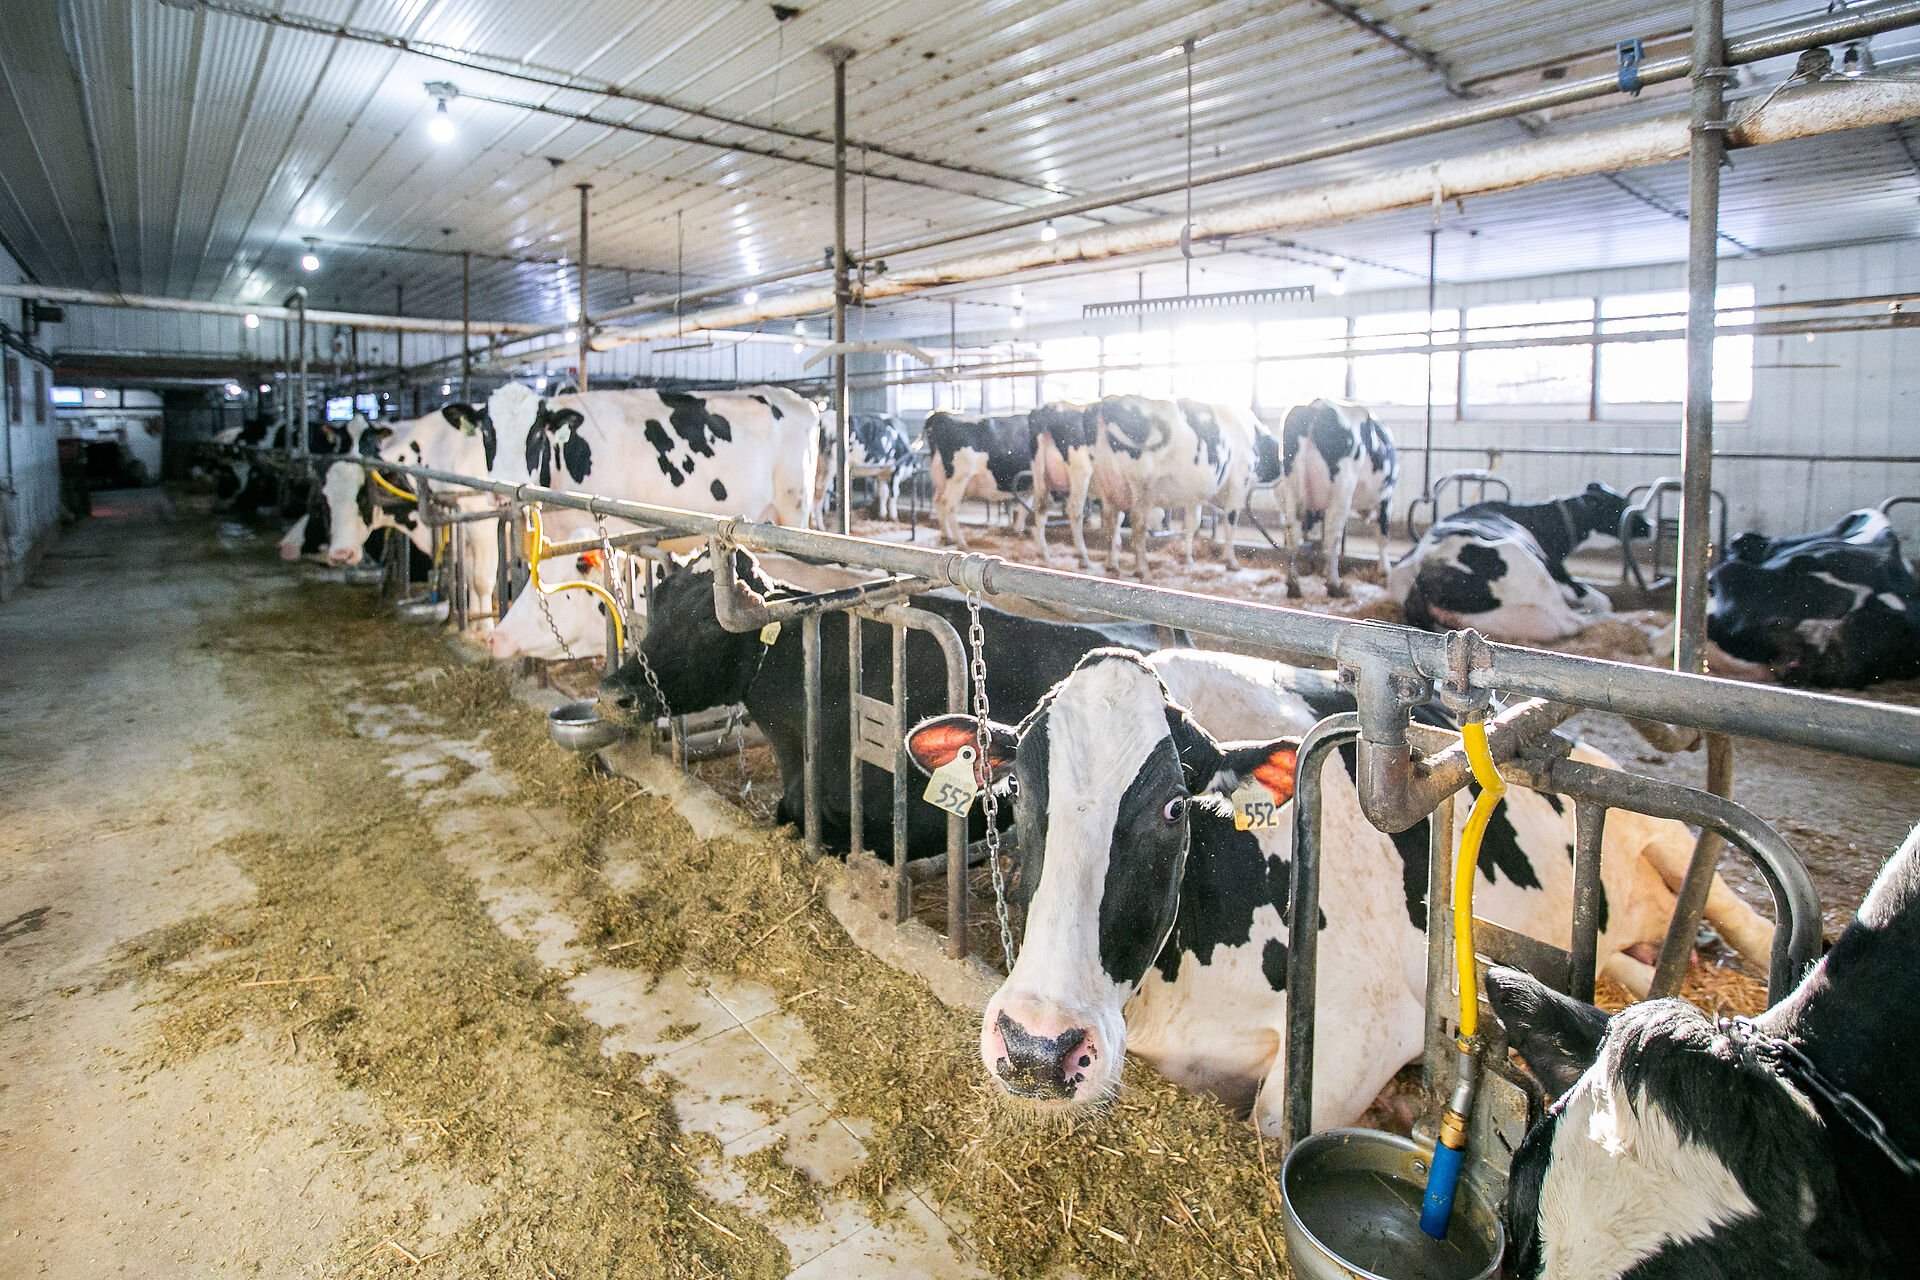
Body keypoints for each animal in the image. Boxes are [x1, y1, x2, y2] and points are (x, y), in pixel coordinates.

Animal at [902, 648, 1773, 1134]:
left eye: (1176, 806)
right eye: (1016, 790)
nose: (1038, 1048)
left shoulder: (1369, 1022)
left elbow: (1275, 1118)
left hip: (1671, 833)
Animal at [922, 412, 1038, 549]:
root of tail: (942, 415)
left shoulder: (1030, 487)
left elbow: (1024, 508)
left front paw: (1019, 532)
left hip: (942, 481)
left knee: (939, 503)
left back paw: (947, 537)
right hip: (959, 479)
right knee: (949, 506)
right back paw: (961, 542)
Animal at [1092, 396, 1263, 581]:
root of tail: (1111, 401)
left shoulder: (1193, 497)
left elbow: (1191, 524)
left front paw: (1188, 559)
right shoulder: (1239, 486)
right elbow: (1230, 523)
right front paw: (1231, 562)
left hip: (1108, 483)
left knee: (1111, 521)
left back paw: (1112, 565)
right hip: (1141, 486)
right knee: (1138, 523)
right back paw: (1142, 570)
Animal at [1276, 398, 1397, 598]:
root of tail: (1317, 406)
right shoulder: (1386, 498)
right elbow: (1383, 536)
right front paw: (1384, 572)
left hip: (1291, 488)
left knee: (1292, 533)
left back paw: (1294, 585)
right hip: (1342, 490)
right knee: (1332, 537)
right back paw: (1335, 585)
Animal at [1388, 482, 1646, 644]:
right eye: (1620, 504)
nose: (1650, 525)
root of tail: (1422, 571)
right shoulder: (1556, 570)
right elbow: (1601, 599)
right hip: (1531, 570)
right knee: (1572, 622)